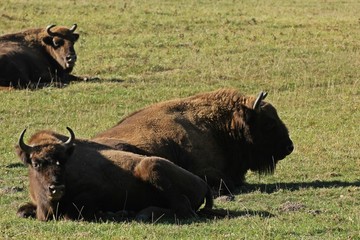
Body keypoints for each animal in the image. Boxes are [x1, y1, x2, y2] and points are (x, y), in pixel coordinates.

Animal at [16, 127, 214, 221]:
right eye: (36, 163)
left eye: (63, 161)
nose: (56, 188)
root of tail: (203, 184)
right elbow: (21, 211)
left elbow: (72, 214)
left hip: (151, 166)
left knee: (183, 208)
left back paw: (139, 214)